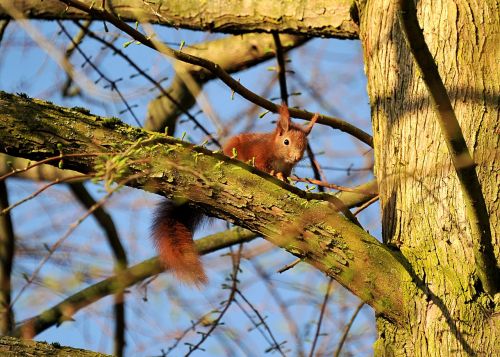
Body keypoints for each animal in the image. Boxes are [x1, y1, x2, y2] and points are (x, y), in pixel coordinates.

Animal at [150, 103, 318, 284]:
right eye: (286, 141)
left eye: (305, 145)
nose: (296, 157)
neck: (279, 156)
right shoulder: (260, 154)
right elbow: (262, 166)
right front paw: (274, 174)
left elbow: (284, 175)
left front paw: (282, 177)